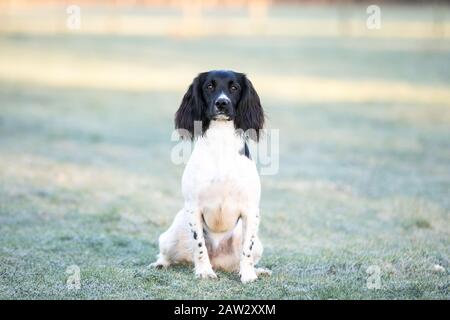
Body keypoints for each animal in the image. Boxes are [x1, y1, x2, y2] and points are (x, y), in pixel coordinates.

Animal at [151, 70, 270, 282]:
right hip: (172, 233)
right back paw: (161, 263)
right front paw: (205, 271)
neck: (221, 144)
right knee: (167, 252)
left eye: (234, 87)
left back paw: (257, 270)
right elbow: (199, 246)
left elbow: (246, 251)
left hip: (257, 244)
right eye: (209, 86)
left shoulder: (251, 210)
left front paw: (248, 275)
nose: (222, 103)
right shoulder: (193, 208)